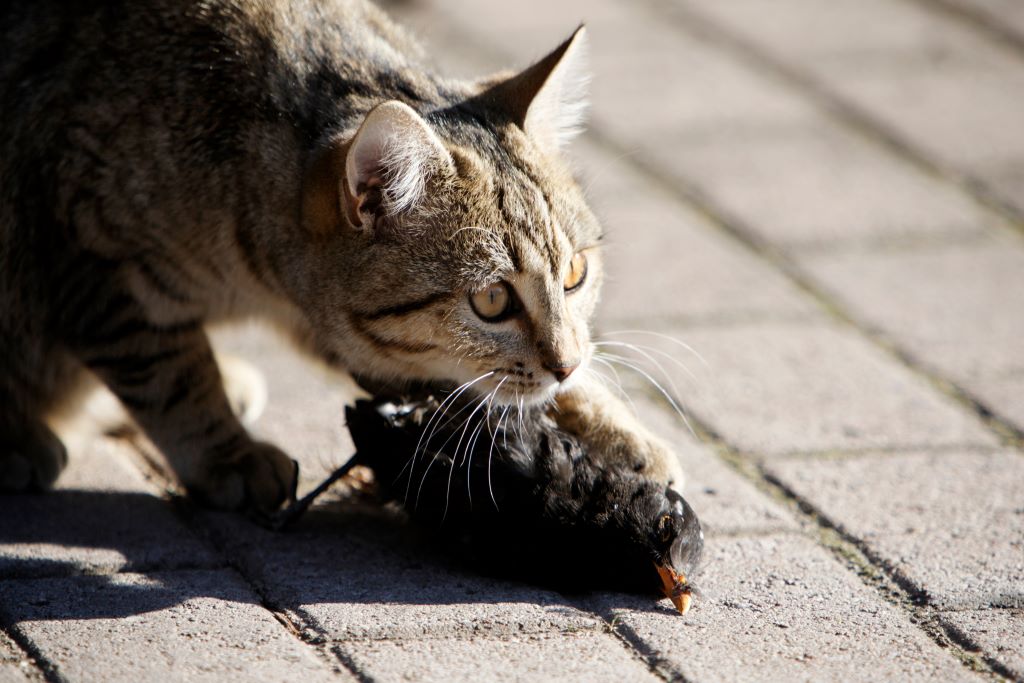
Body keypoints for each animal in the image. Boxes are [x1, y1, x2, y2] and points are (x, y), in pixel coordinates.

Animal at [2, 0, 688, 509]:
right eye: (492, 300)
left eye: (576, 273)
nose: (565, 365)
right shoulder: (90, 262)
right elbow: (172, 372)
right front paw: (229, 453)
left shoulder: (329, 322)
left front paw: (615, 428)